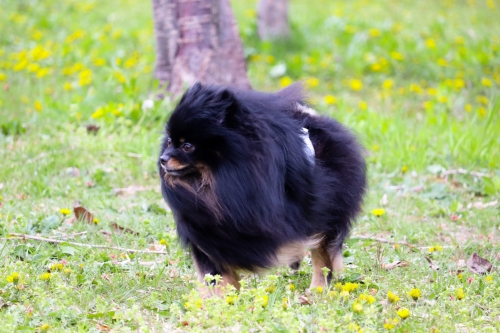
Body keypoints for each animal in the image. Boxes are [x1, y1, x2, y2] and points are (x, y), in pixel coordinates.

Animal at [158, 82, 366, 294]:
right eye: (169, 142)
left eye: (187, 146)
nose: (162, 159)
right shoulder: (205, 234)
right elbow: (217, 273)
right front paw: (225, 298)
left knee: (323, 255)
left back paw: (317, 289)